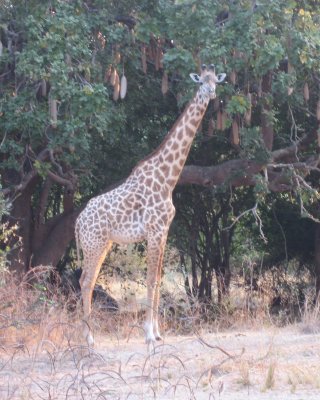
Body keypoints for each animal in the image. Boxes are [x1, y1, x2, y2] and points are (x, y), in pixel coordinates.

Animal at [75, 63, 226, 344]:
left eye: (216, 81)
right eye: (201, 81)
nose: (210, 93)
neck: (168, 178)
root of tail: (78, 223)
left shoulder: (164, 232)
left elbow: (157, 279)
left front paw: (157, 333)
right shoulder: (154, 231)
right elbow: (151, 279)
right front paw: (148, 334)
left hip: (103, 244)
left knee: (86, 280)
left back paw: (89, 337)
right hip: (94, 244)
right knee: (86, 281)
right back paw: (89, 339)